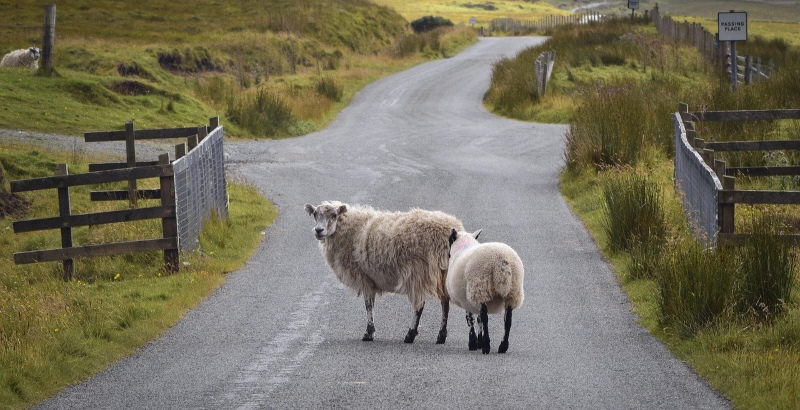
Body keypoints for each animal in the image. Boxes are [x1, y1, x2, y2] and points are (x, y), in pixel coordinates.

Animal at [308, 200, 468, 344]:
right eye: (315, 214)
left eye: (334, 215)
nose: (318, 230)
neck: (350, 230)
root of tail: (451, 228)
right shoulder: (370, 279)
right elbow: (371, 304)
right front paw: (370, 331)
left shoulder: (364, 278)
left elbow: (368, 305)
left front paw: (368, 333)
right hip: (443, 273)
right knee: (445, 303)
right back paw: (441, 336)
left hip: (417, 271)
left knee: (420, 305)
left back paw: (410, 335)